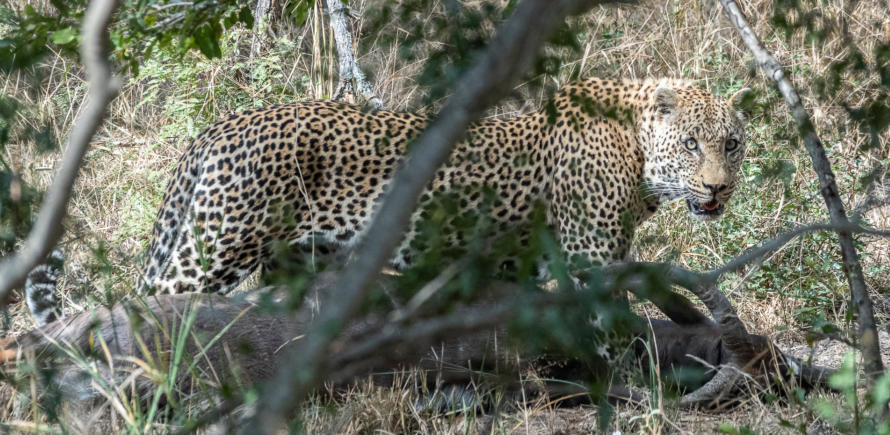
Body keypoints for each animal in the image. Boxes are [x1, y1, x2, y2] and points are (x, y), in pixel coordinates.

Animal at [137, 77, 751, 295]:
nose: (718, 190)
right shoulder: (591, 256)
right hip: (217, 246)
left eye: (732, 145)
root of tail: (224, 124)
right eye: (691, 144)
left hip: (296, 258)